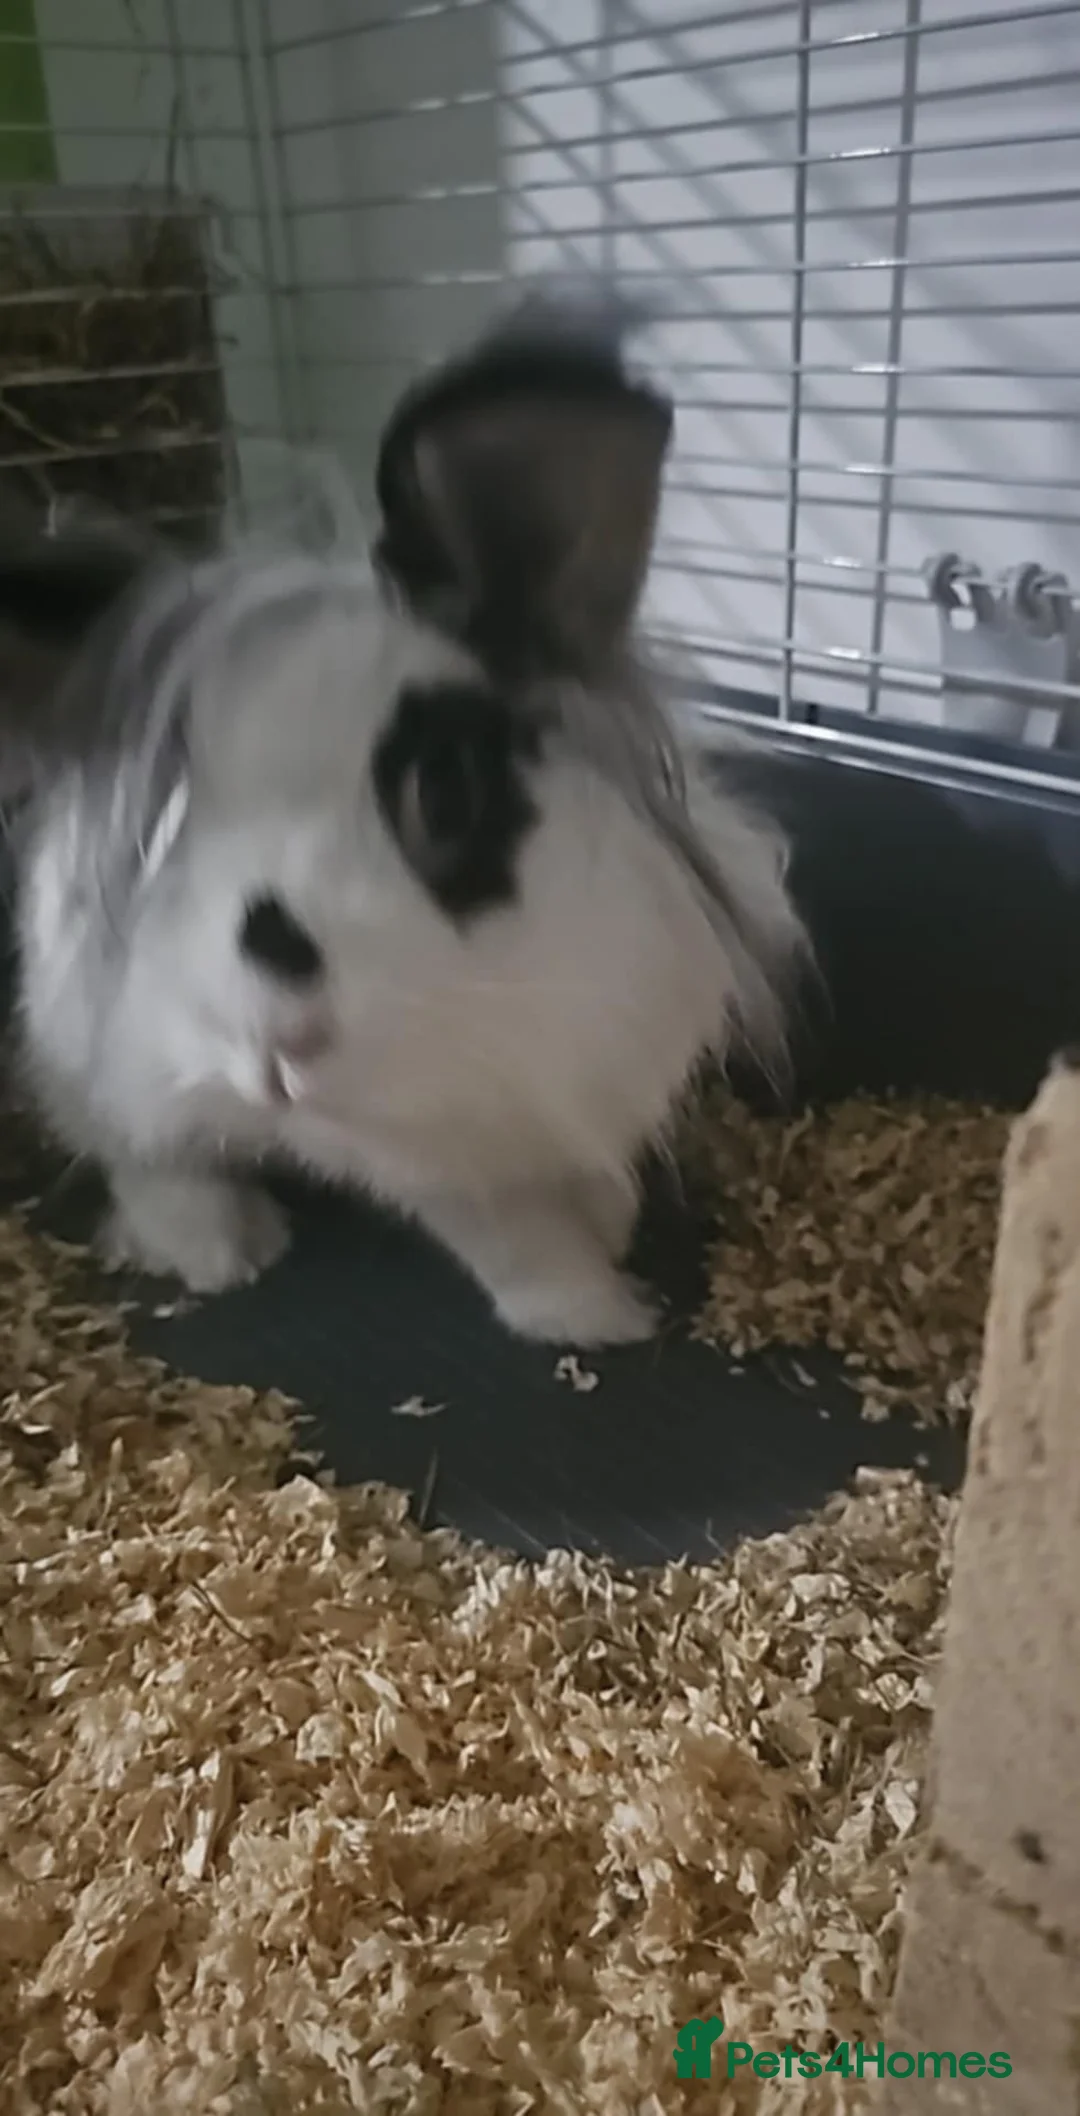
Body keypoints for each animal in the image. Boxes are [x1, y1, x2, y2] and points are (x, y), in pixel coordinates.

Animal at [5, 294, 809, 1346]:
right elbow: (513, 1238)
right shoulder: (436, 1166)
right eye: (170, 811)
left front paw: (612, 1221)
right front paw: (598, 1314)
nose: (283, 1049)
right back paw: (224, 1251)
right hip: (97, 1063)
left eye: (444, 790)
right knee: (142, 1155)